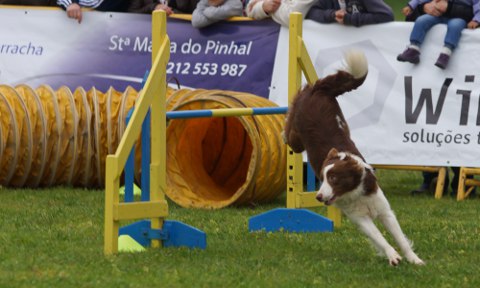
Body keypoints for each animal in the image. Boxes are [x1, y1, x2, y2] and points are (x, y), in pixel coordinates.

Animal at [284, 49, 424, 266]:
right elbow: (379, 236)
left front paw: (414, 259)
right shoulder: (360, 218)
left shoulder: (384, 210)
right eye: (322, 178)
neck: (355, 191)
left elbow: (399, 236)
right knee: (288, 133)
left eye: (333, 178)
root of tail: (319, 89)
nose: (318, 197)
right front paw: (392, 255)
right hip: (296, 139)